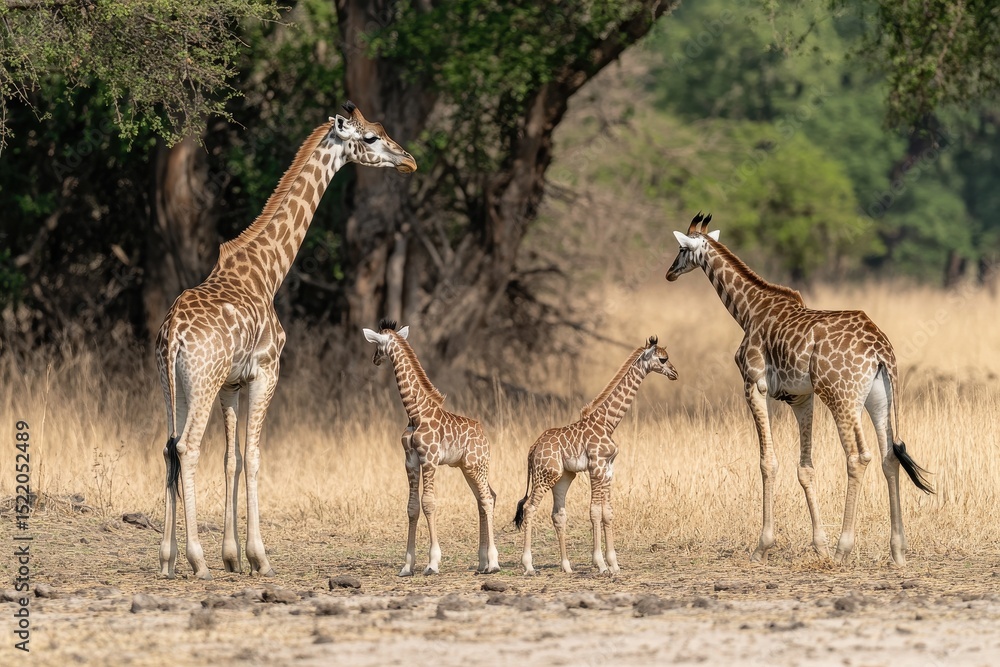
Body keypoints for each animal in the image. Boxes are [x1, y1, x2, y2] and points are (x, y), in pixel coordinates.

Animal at [155, 102, 416, 579]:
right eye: (370, 137)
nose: (408, 160)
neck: (268, 270)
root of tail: (175, 333)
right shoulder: (266, 372)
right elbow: (255, 456)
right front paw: (259, 557)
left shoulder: (230, 384)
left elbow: (233, 458)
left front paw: (232, 556)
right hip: (199, 382)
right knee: (186, 447)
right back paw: (196, 559)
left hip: (174, 384)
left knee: (169, 449)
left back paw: (167, 559)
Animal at [362, 319, 500, 575]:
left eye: (377, 345)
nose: (374, 359)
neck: (415, 413)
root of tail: (484, 435)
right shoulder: (410, 460)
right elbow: (412, 507)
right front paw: (407, 566)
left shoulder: (429, 459)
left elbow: (429, 503)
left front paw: (432, 563)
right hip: (467, 468)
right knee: (485, 498)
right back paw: (482, 563)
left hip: (477, 464)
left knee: (487, 498)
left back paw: (493, 563)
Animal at [514, 336, 678, 575]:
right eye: (663, 358)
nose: (675, 372)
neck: (607, 423)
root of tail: (533, 448)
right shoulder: (596, 467)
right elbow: (594, 511)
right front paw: (600, 564)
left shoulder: (608, 469)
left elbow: (607, 512)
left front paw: (614, 564)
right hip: (545, 475)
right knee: (529, 507)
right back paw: (528, 565)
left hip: (563, 477)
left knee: (558, 514)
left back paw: (566, 566)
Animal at [665, 212, 934, 566]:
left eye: (681, 249)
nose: (669, 272)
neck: (748, 311)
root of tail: (880, 350)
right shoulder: (801, 397)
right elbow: (805, 468)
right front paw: (818, 545)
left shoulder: (754, 385)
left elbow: (767, 462)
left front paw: (763, 547)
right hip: (878, 399)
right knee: (890, 456)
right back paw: (898, 551)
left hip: (841, 397)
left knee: (858, 456)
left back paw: (843, 549)